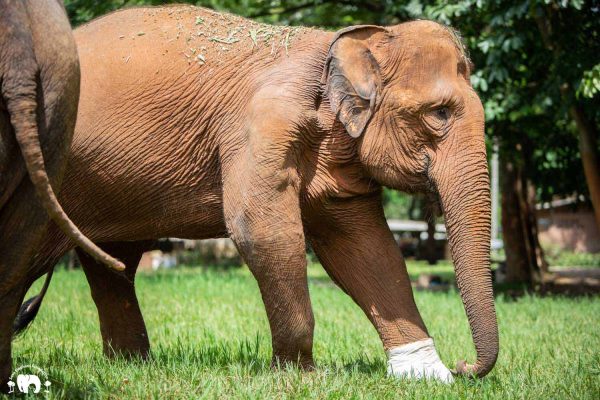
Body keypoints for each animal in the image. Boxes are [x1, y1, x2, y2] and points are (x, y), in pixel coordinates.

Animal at [15, 3, 502, 382]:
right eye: (439, 113)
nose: (464, 366)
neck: (338, 48)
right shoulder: (260, 126)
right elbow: (262, 230)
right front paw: (302, 376)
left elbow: (367, 248)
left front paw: (425, 375)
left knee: (115, 266)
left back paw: (133, 366)